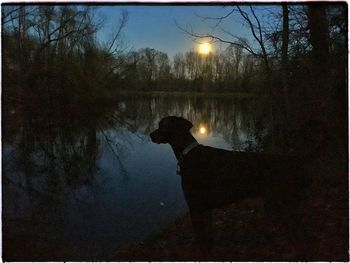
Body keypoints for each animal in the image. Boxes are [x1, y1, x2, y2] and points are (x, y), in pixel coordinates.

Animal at [150, 116, 320, 253]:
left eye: (162, 124)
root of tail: (296, 160)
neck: (189, 153)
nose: (150, 134)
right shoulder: (206, 209)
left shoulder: (195, 207)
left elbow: (200, 239)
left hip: (279, 205)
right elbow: (209, 238)